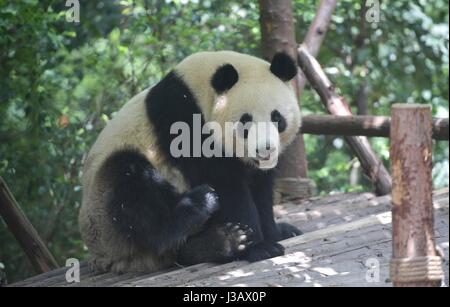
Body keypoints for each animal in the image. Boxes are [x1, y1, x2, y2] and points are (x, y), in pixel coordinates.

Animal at [80, 50, 302, 274]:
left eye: (277, 118)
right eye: (245, 122)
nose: (265, 149)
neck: (198, 92)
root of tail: (102, 257)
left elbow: (261, 189)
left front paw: (275, 233)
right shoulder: (184, 123)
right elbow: (226, 185)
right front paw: (257, 246)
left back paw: (220, 243)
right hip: (104, 213)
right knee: (132, 188)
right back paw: (208, 215)